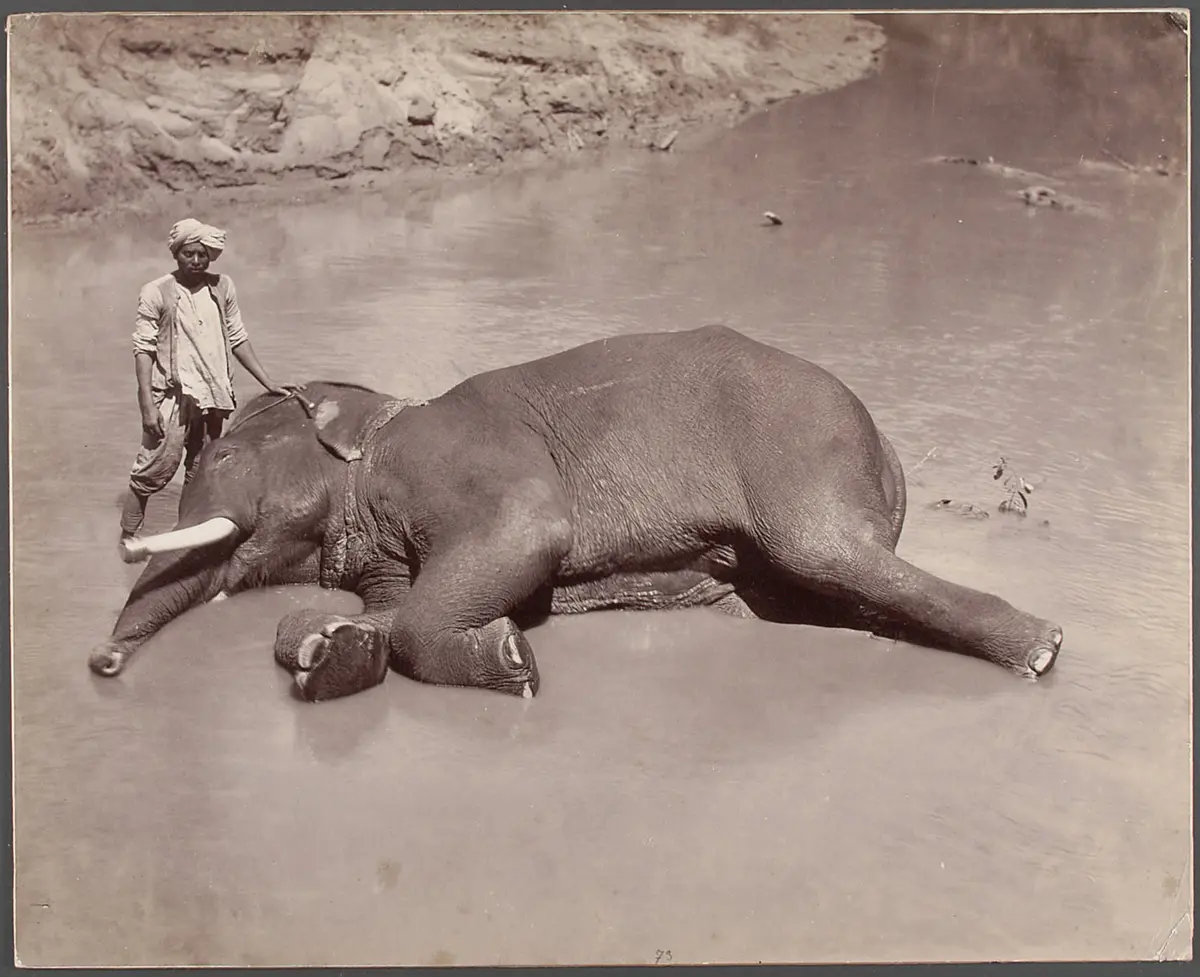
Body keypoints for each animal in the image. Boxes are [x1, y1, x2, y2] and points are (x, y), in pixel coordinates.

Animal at [90, 325, 1064, 702]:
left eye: (220, 457)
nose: (102, 662)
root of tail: (888, 448)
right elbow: (389, 609)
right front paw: (331, 648)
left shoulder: (467, 463)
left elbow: (524, 540)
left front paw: (515, 661)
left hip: (801, 463)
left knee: (836, 556)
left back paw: (1041, 649)